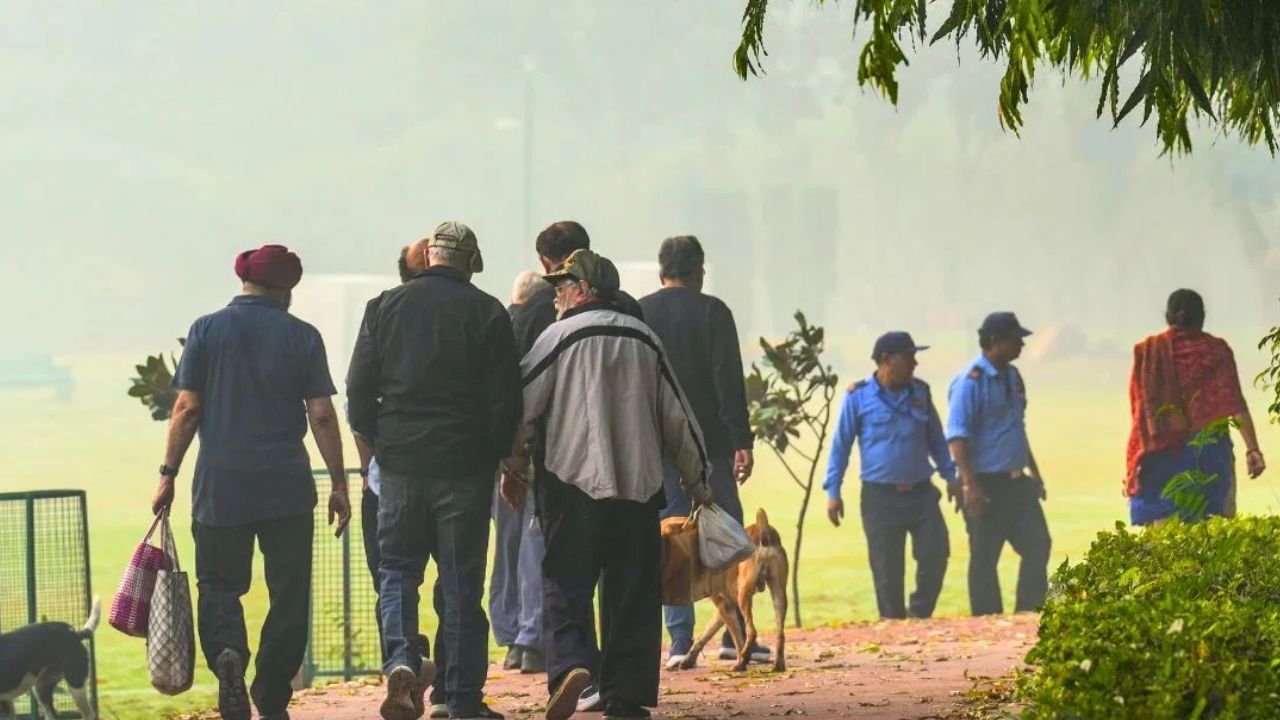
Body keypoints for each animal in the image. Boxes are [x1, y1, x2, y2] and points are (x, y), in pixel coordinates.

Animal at [675, 507, 783, 671]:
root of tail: (763, 531)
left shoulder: (725, 606)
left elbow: (738, 639)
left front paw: (741, 662)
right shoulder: (724, 607)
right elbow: (705, 634)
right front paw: (688, 659)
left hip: (744, 597)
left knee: (751, 631)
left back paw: (742, 661)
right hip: (779, 595)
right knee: (780, 633)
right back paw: (779, 664)